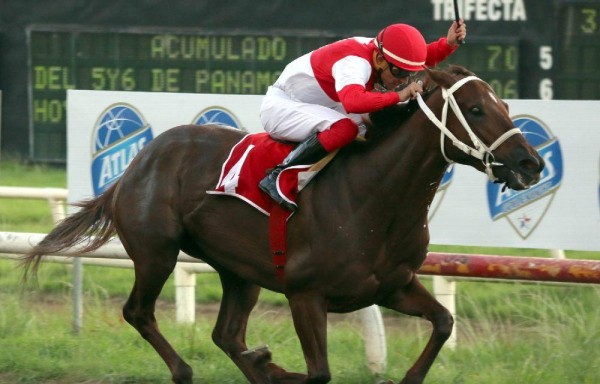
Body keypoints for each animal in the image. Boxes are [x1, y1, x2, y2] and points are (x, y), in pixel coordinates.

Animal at [21, 67, 544, 384]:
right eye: (475, 109)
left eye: (504, 104)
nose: (531, 163)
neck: (375, 198)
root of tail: (136, 163)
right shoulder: (305, 294)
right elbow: (320, 373)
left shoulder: (391, 285)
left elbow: (443, 322)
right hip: (157, 252)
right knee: (139, 312)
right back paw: (194, 369)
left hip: (240, 270)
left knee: (227, 335)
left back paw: (261, 363)